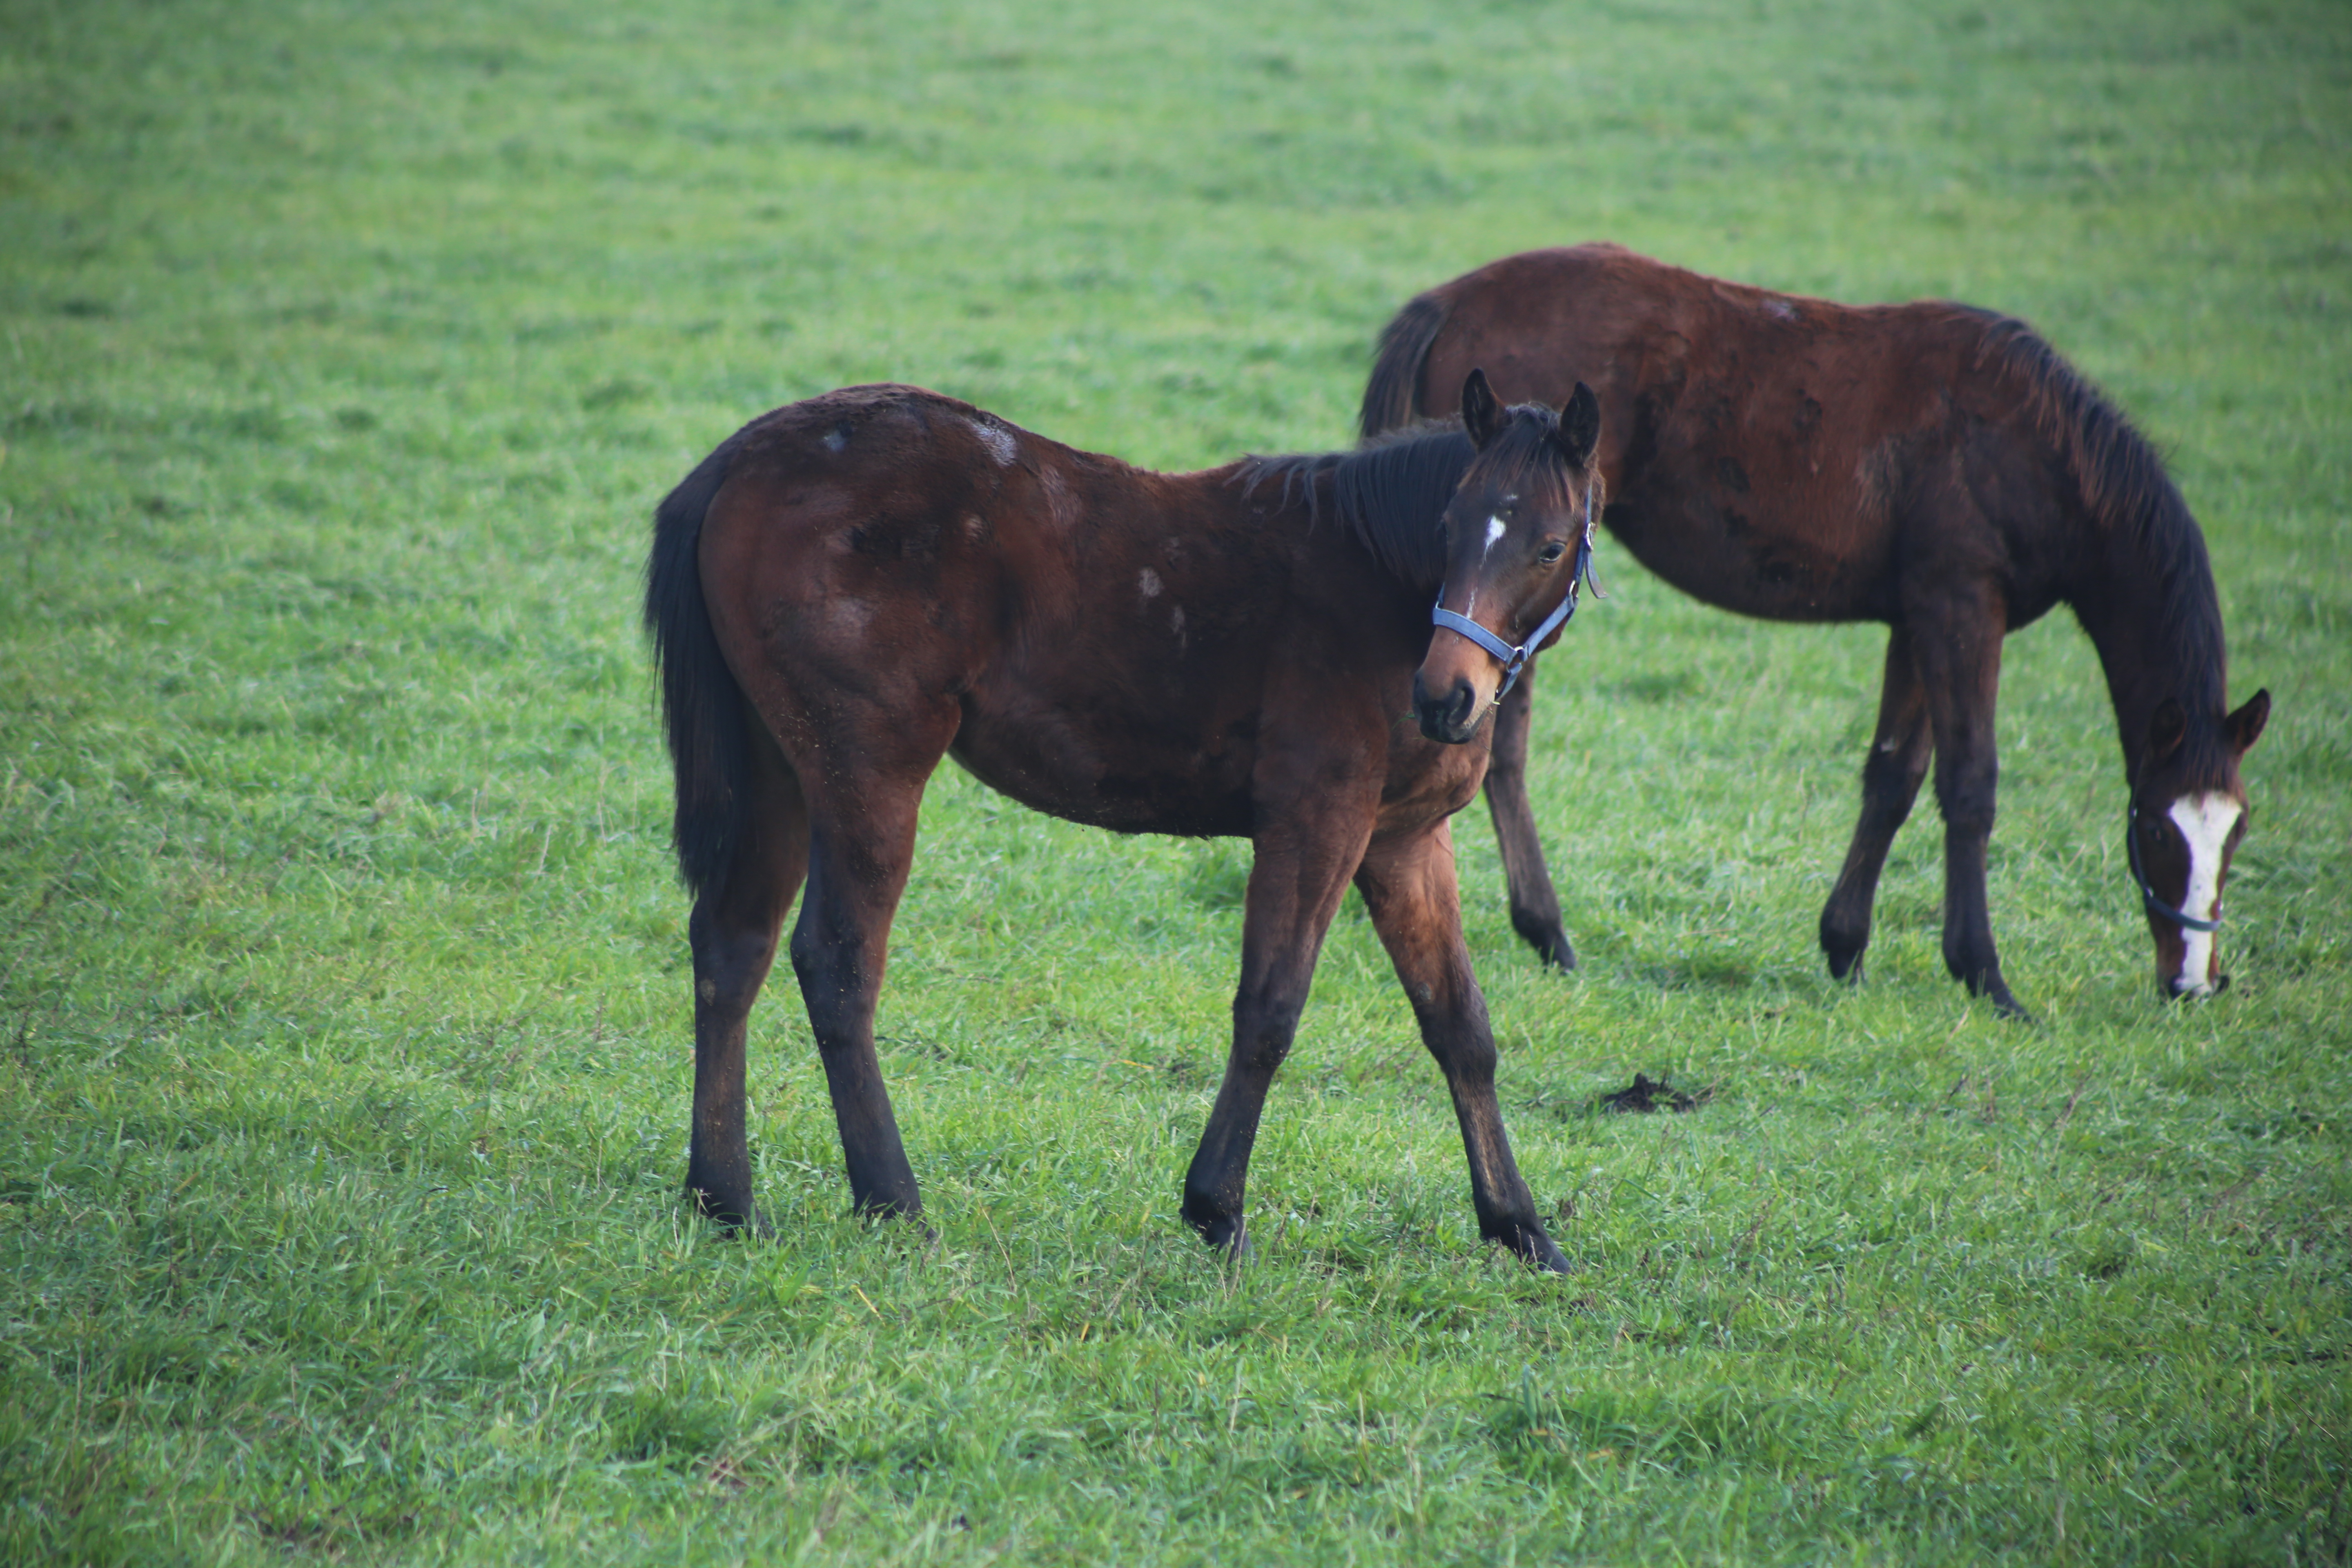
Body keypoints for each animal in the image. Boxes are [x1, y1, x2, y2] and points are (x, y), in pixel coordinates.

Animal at [644, 374, 1608, 1269]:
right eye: (1450, 526)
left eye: (1549, 544)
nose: (1447, 697)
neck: (1375, 577)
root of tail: (738, 462)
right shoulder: (1315, 822)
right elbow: (1271, 1009)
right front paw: (1217, 1210)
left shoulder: (1404, 842)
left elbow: (1461, 1026)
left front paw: (1521, 1229)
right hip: (868, 773)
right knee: (837, 965)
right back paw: (894, 1201)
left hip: (778, 769)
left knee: (733, 947)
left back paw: (724, 1197)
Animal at [1373, 240, 2267, 1011]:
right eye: (2156, 830)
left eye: (2237, 832)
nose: (2193, 981)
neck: (2032, 443)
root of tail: (1450, 300)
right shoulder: (1963, 609)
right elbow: (1970, 785)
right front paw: (1984, 973)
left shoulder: (1917, 620)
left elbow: (1894, 777)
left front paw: (1846, 947)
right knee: (1503, 753)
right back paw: (1548, 931)